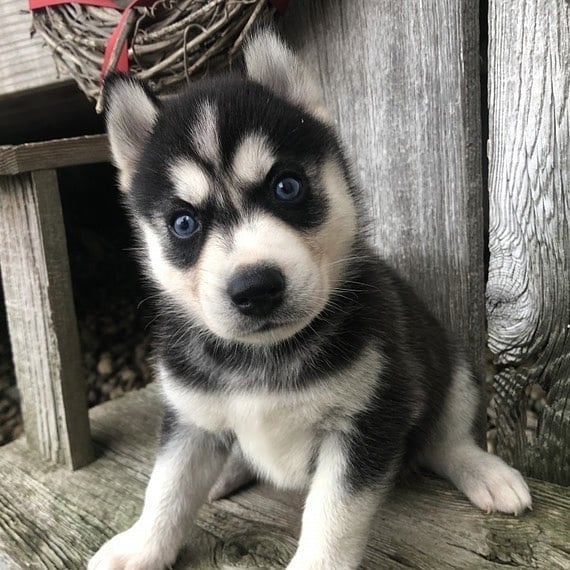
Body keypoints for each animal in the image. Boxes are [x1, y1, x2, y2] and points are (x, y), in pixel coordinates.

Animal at [89, 30, 528, 568]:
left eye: (287, 186)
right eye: (184, 223)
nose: (255, 289)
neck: (263, 356)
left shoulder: (369, 417)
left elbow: (333, 513)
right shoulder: (190, 417)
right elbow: (166, 487)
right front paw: (142, 547)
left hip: (449, 366)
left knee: (445, 440)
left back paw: (484, 471)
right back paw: (228, 471)